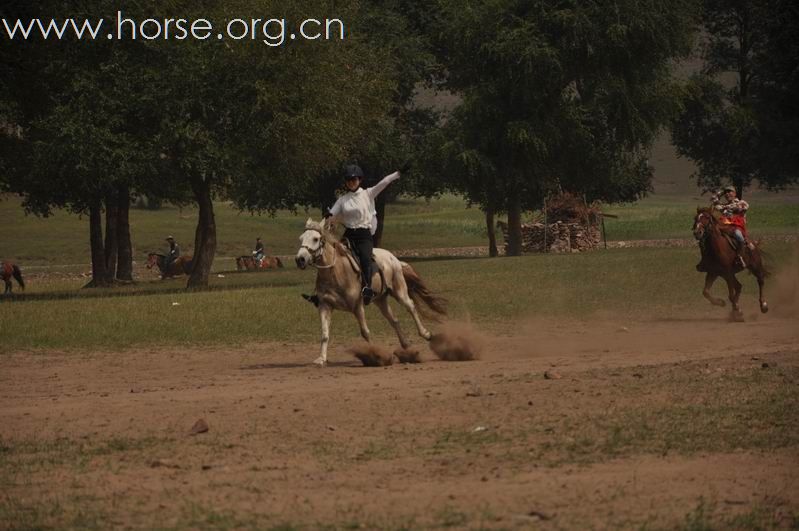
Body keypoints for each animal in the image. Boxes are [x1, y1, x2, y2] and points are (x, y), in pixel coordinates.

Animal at [296, 218, 446, 368]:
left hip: (400, 292)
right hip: (380, 300)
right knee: (394, 320)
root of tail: (394, 259)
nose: (300, 259)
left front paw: (375, 355)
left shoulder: (357, 306)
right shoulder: (325, 306)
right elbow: (324, 333)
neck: (336, 271)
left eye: (315, 239)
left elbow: (365, 332)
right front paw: (321, 359)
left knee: (411, 307)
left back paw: (426, 334)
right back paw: (406, 346)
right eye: (301, 238)